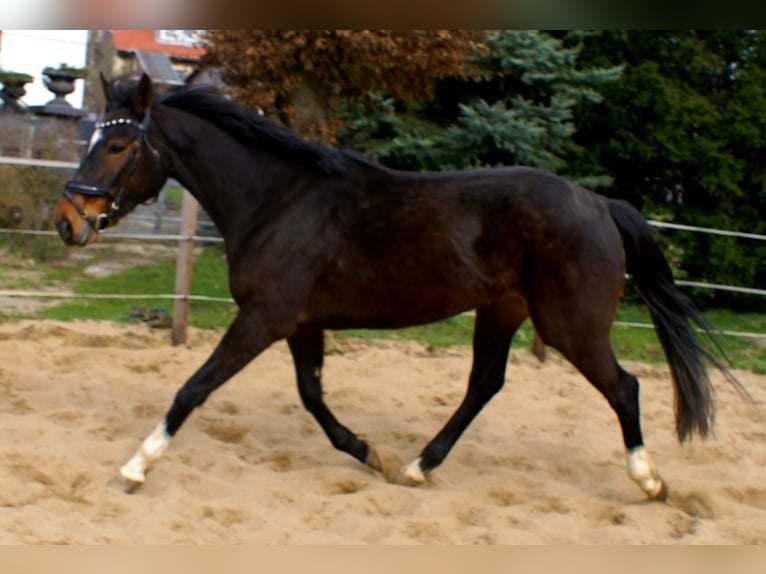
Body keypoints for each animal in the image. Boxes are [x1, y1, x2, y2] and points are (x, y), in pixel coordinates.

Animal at [54, 73, 743, 500]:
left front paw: (135, 466)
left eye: (117, 144)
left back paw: (650, 482)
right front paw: (369, 453)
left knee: (624, 387)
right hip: (502, 310)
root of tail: (600, 204)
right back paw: (415, 467)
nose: (67, 221)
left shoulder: (264, 318)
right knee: (485, 384)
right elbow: (312, 398)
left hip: (570, 325)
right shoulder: (301, 324)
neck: (278, 201)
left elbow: (193, 388)